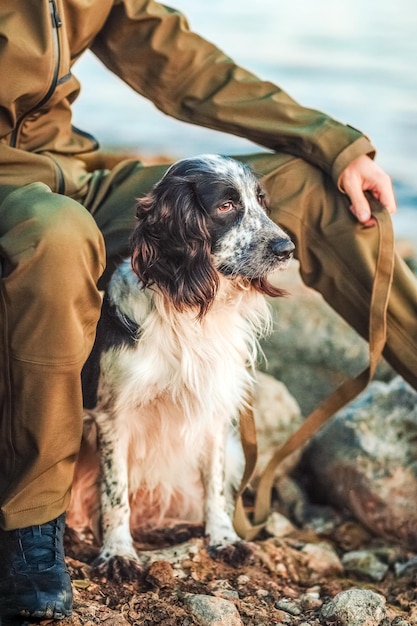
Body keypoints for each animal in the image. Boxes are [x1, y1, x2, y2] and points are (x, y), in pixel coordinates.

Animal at [76, 154, 294, 572]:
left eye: (260, 200)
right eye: (226, 206)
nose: (287, 247)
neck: (188, 310)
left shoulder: (214, 410)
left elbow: (215, 484)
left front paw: (224, 538)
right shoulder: (112, 415)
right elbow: (115, 492)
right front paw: (118, 552)